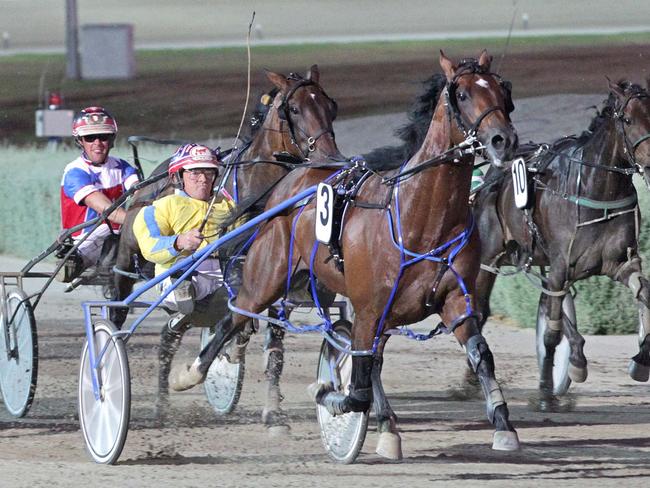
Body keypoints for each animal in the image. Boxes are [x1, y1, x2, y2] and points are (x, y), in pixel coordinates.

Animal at [111, 66, 344, 424]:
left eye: (331, 107)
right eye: (293, 109)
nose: (330, 157)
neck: (260, 192)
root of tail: (152, 177)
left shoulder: (278, 277)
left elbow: (274, 345)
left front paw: (272, 408)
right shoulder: (238, 266)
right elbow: (241, 321)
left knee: (171, 333)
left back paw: (163, 403)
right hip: (129, 254)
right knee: (121, 306)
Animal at [170, 51, 520, 460]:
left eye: (502, 90)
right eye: (462, 94)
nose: (503, 140)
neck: (418, 214)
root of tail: (291, 178)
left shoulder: (452, 301)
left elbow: (479, 353)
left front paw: (503, 425)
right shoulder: (370, 308)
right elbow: (357, 385)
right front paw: (328, 393)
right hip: (267, 277)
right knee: (234, 317)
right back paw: (189, 373)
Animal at [470, 79, 648, 400]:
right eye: (628, 120)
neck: (597, 189)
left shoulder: (620, 263)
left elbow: (644, 294)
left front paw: (642, 359)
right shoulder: (561, 266)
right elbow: (553, 333)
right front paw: (559, 377)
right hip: (490, 257)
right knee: (478, 311)